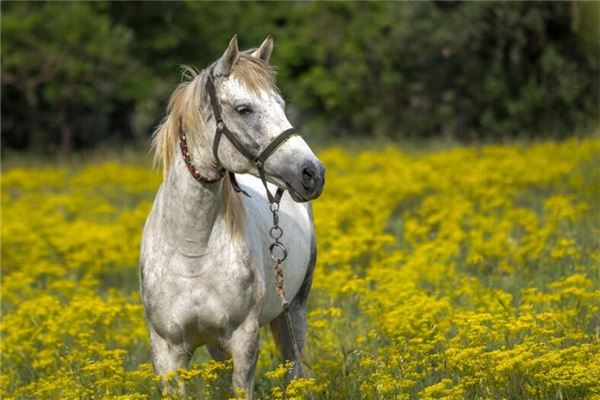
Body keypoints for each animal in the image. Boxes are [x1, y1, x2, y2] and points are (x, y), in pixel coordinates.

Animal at [139, 36, 326, 398]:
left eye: (281, 104)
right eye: (243, 109)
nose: (312, 173)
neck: (192, 249)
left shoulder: (243, 340)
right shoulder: (167, 351)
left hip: (293, 311)